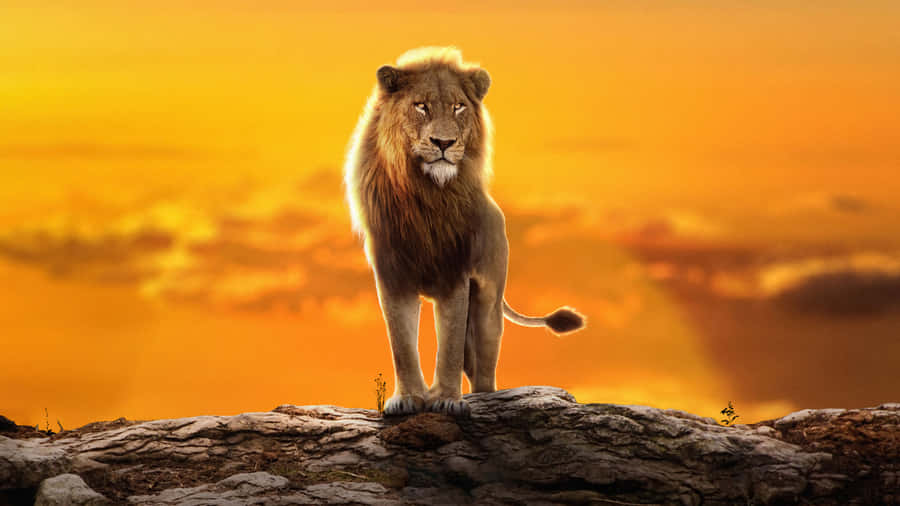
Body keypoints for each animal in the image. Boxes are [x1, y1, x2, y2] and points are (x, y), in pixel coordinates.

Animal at [343, 47, 585, 417]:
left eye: (458, 107)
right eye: (421, 106)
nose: (444, 142)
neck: (426, 195)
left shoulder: (454, 273)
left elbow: (450, 346)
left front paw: (446, 399)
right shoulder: (392, 275)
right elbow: (402, 344)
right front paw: (409, 398)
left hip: (487, 305)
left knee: (482, 365)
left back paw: (483, 397)